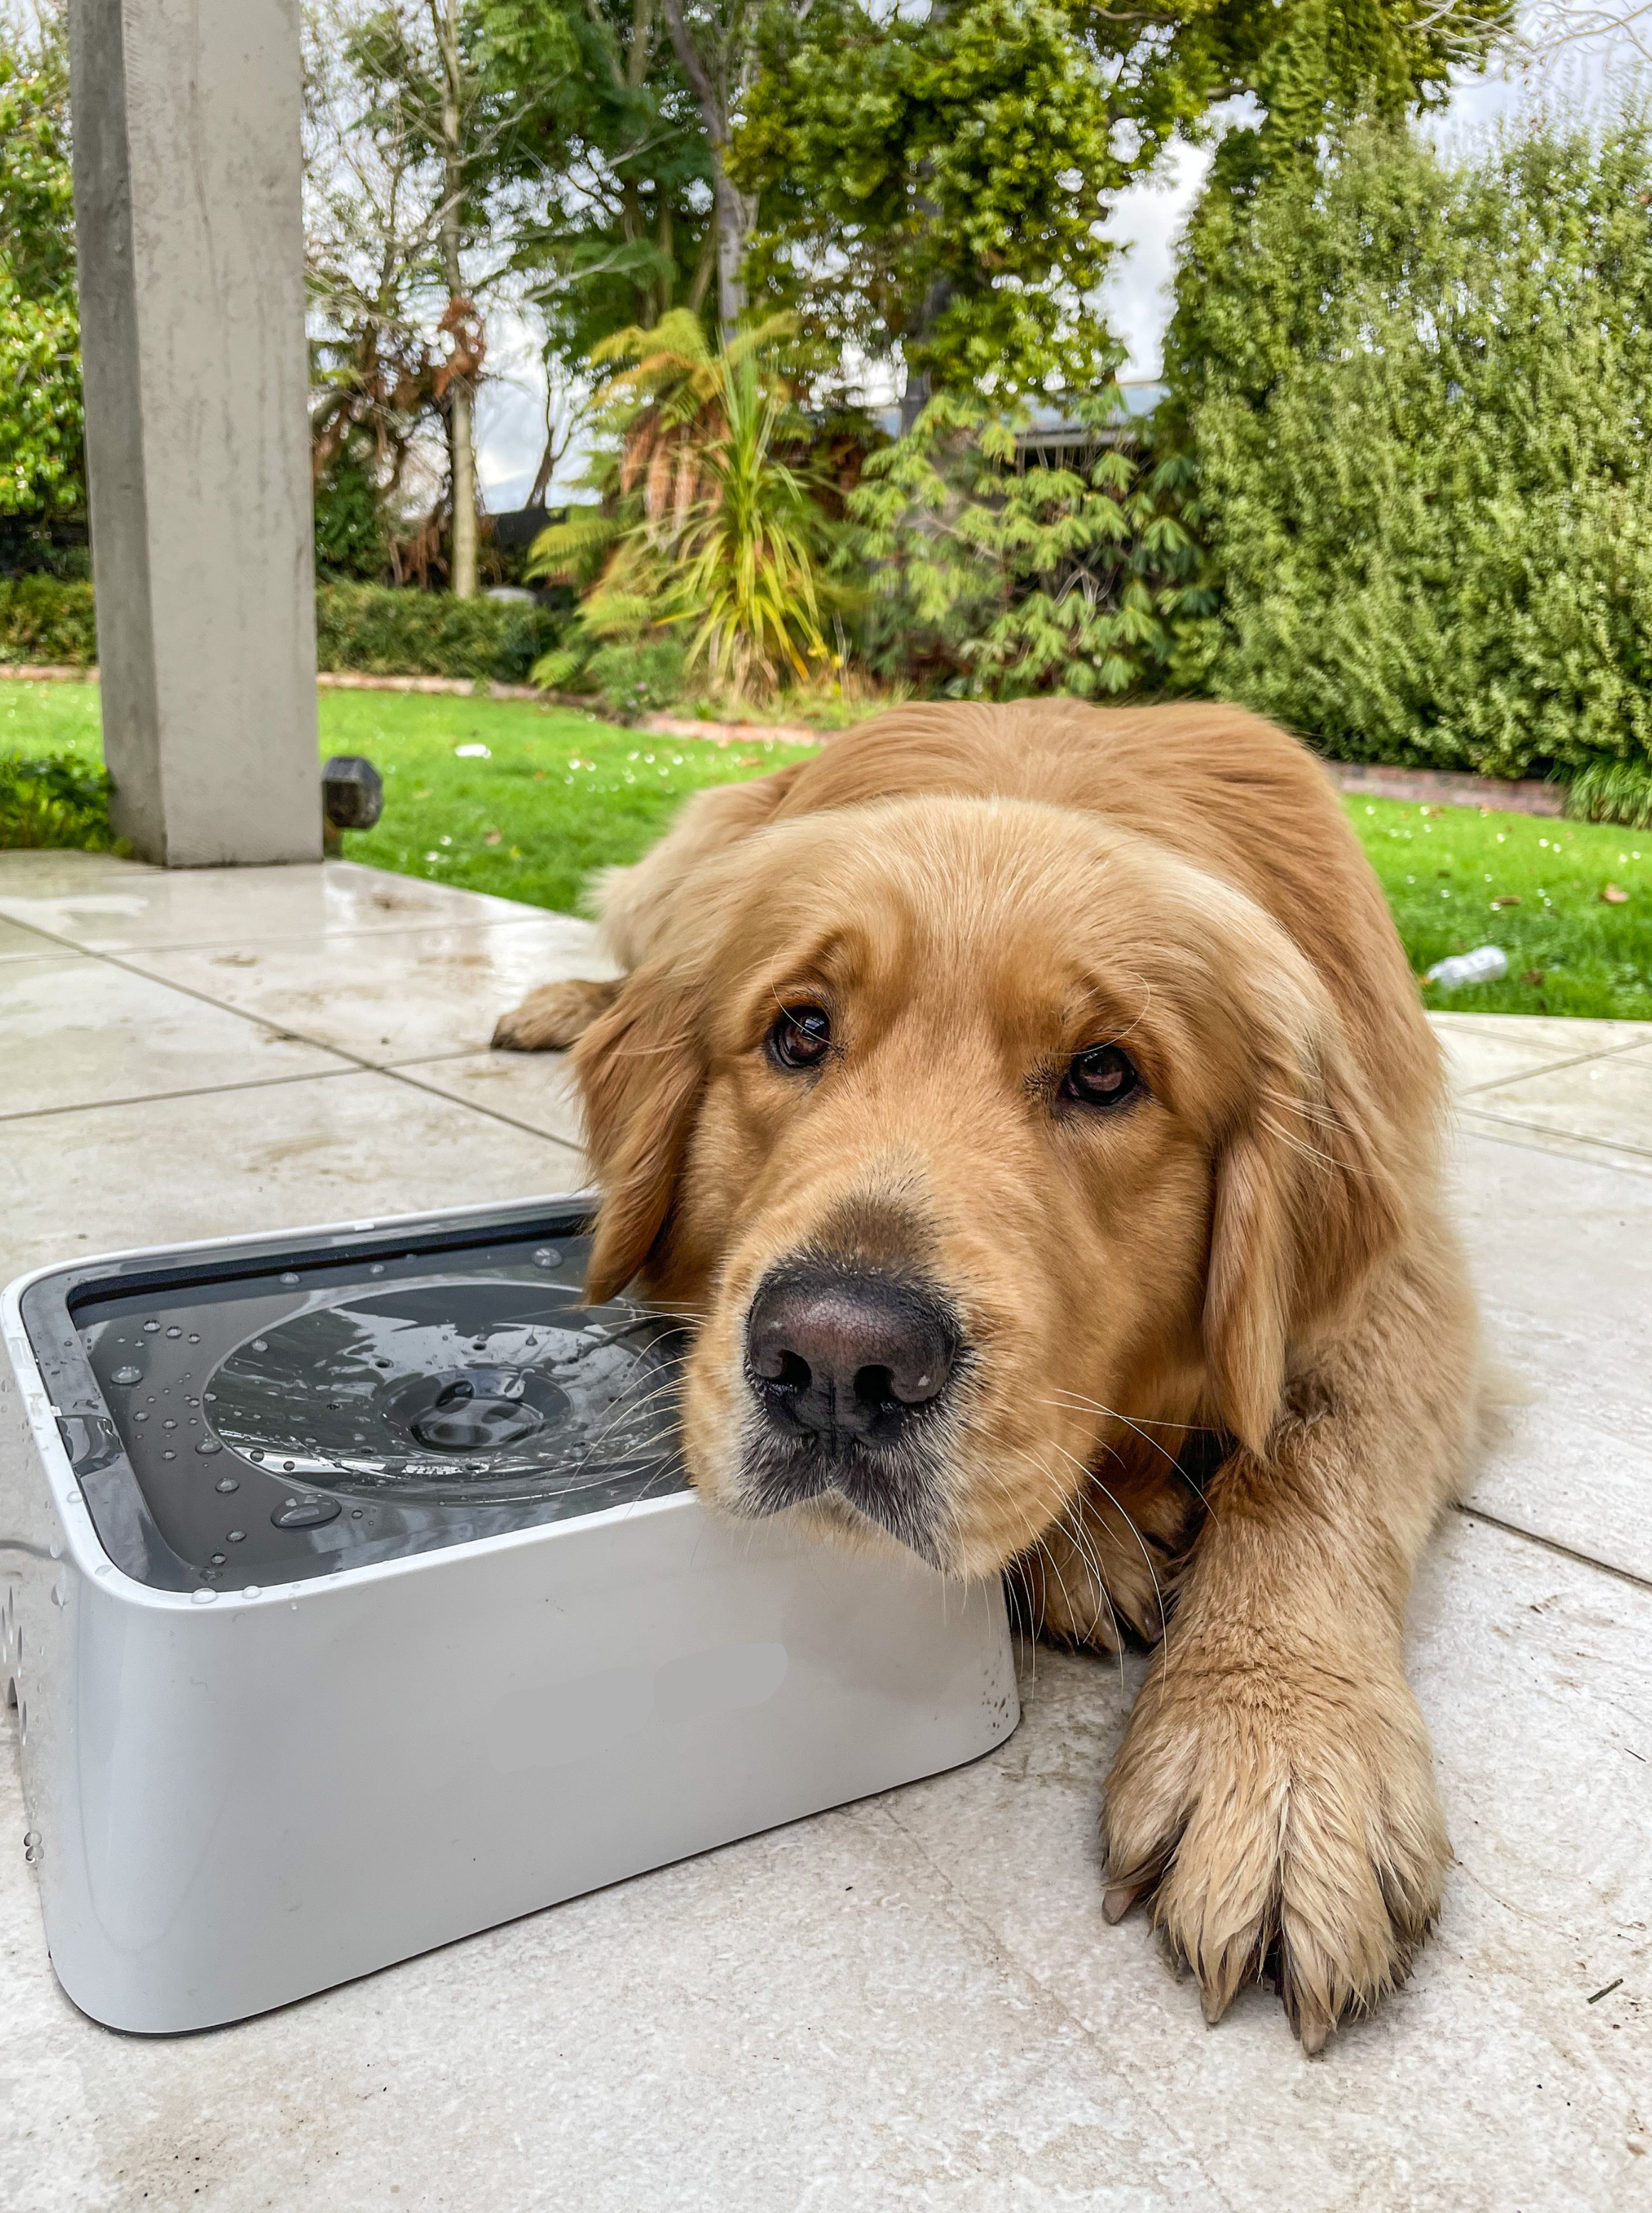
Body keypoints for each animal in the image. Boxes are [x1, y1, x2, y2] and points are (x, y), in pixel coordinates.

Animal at [488, 703, 1477, 2054]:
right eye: (799, 1031)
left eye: (1105, 1072)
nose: (836, 1359)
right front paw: (1089, 1544)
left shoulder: (1402, 1275)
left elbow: (1306, 1451)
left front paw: (1276, 1748)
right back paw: (568, 1002)